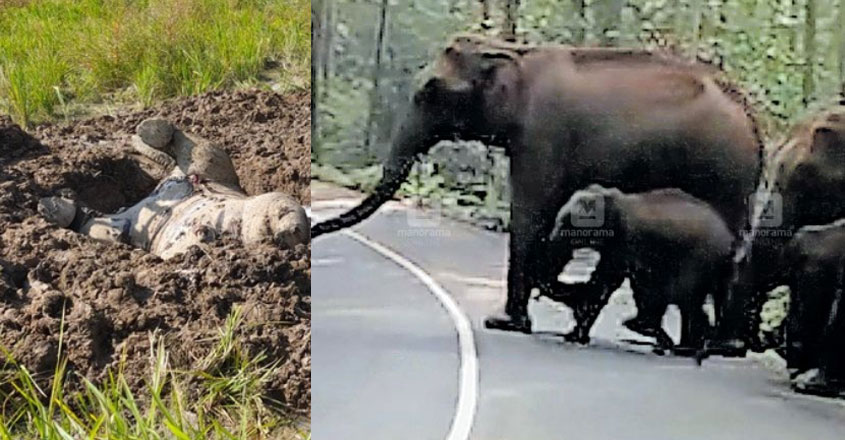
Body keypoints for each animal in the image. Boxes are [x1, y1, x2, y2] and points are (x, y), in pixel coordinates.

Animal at [311, 34, 762, 334]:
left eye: (430, 90)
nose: (313, 230)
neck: (515, 53)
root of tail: (752, 117)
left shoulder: (543, 136)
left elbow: (532, 214)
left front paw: (503, 321)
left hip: (722, 174)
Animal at [546, 185, 734, 354]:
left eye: (566, 224)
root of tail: (729, 242)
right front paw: (575, 336)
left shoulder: (627, 242)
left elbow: (609, 282)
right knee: (690, 303)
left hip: (699, 260)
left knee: (687, 298)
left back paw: (684, 345)